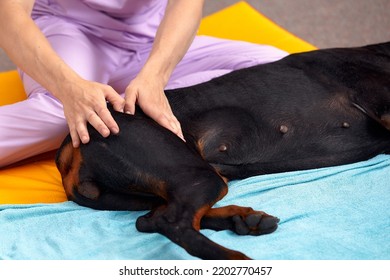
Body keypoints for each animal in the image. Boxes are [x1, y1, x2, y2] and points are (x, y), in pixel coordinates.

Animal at [54, 41, 390, 260]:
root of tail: (69, 146)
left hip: (143, 190)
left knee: (153, 217)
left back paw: (244, 220)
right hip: (191, 171)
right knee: (169, 222)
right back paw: (237, 255)